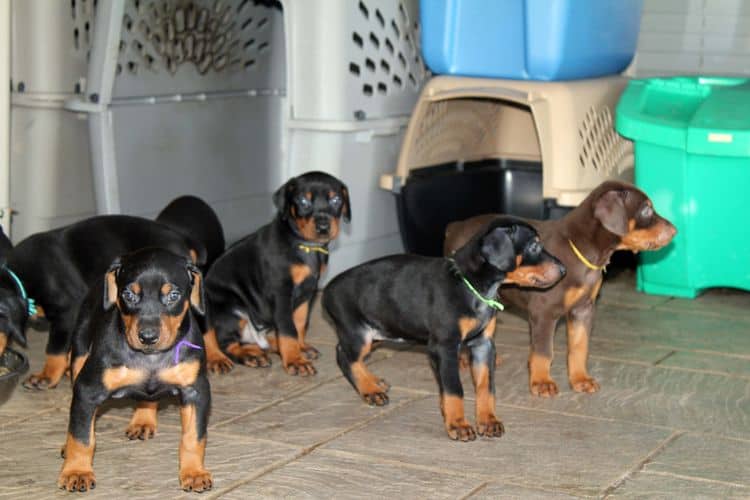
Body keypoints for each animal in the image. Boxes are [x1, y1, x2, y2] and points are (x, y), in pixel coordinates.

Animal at [59, 247, 210, 492]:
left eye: (173, 295)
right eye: (128, 295)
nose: (147, 337)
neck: (150, 358)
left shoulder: (195, 391)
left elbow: (193, 437)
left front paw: (194, 473)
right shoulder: (87, 389)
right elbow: (81, 436)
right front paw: (77, 472)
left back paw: (143, 421)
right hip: (79, 351)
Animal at [206, 171, 352, 376]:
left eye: (336, 200)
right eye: (303, 201)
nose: (323, 227)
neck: (305, 246)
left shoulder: (308, 291)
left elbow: (299, 324)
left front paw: (300, 349)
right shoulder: (281, 292)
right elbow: (287, 329)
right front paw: (294, 360)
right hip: (232, 308)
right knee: (226, 342)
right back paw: (250, 355)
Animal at [322, 219, 564, 442]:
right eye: (534, 246)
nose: (563, 270)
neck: (471, 286)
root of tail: (327, 289)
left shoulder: (483, 345)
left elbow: (486, 387)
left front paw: (488, 421)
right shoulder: (445, 347)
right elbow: (454, 389)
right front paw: (458, 424)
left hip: (380, 331)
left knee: (348, 353)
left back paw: (373, 382)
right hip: (359, 333)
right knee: (344, 356)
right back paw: (370, 391)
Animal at [444, 182, 680, 396]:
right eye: (647, 210)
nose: (675, 230)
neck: (582, 250)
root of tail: (454, 226)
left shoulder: (583, 309)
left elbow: (579, 346)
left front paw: (580, 379)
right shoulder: (543, 312)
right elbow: (543, 352)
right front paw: (541, 382)